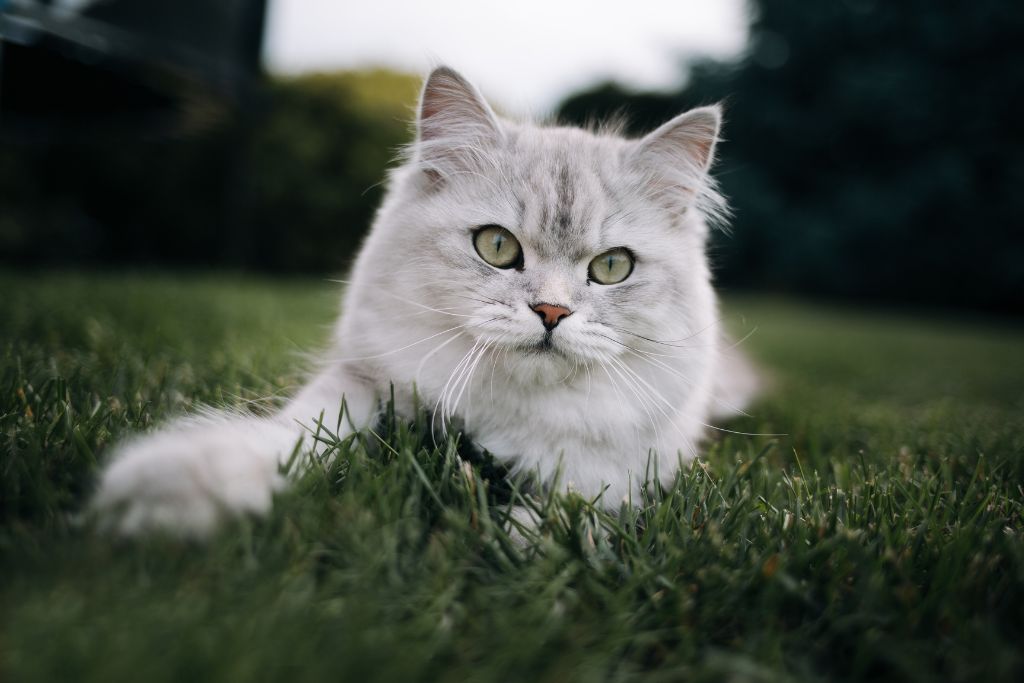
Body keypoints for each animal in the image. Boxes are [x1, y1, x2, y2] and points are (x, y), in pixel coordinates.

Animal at [90, 68, 761, 540]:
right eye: (497, 246)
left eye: (612, 268)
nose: (551, 314)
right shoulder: (363, 381)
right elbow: (296, 434)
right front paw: (182, 491)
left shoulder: (625, 463)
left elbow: (573, 508)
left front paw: (522, 551)